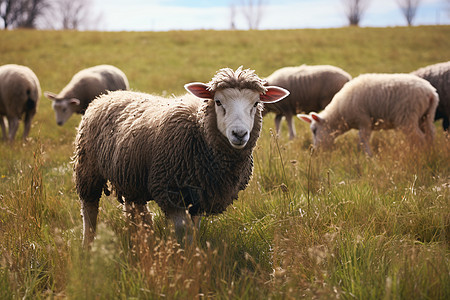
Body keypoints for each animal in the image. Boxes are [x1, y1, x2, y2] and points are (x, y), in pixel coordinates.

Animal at [74, 67, 290, 245]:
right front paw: (185, 261)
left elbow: (194, 230)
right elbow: (183, 231)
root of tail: (107, 95)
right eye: (218, 101)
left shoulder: (200, 195)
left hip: (131, 175)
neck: (199, 133)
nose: (239, 134)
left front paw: (194, 254)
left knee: (134, 208)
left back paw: (141, 238)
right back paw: (88, 244)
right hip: (87, 168)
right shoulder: (172, 192)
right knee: (89, 208)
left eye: (256, 103)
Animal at [298, 73, 440, 156]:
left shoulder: (364, 120)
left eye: (314, 130)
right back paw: (431, 152)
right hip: (426, 116)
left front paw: (368, 155)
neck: (339, 114)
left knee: (419, 137)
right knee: (430, 134)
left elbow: (363, 139)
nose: (315, 151)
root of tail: (431, 93)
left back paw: (418, 154)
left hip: (408, 116)